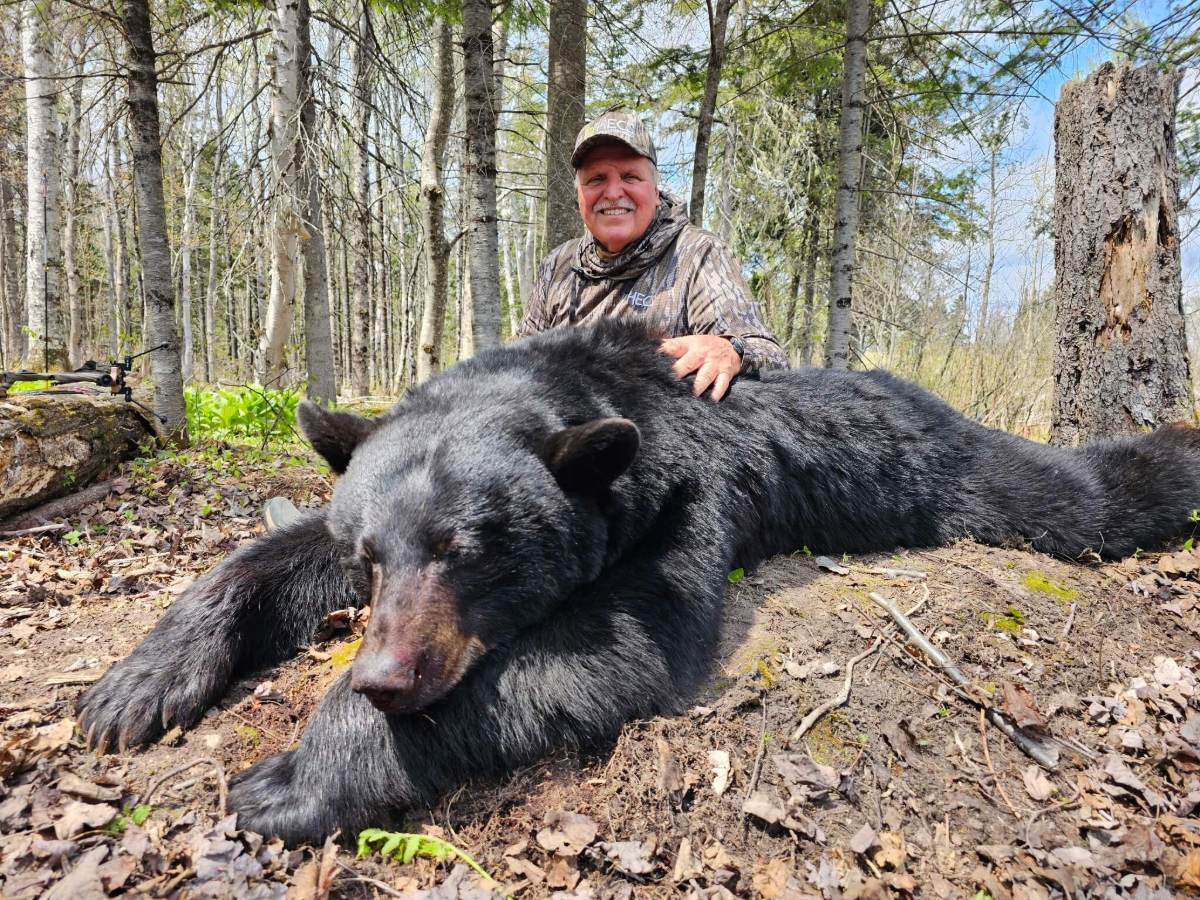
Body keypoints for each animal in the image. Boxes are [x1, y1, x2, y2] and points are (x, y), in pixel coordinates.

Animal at [77, 319, 1200, 846]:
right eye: (372, 555)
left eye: (469, 548)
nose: (388, 676)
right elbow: (271, 555)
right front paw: (133, 686)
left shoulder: (687, 496)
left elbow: (618, 645)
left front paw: (296, 777)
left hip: (953, 471)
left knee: (1068, 494)